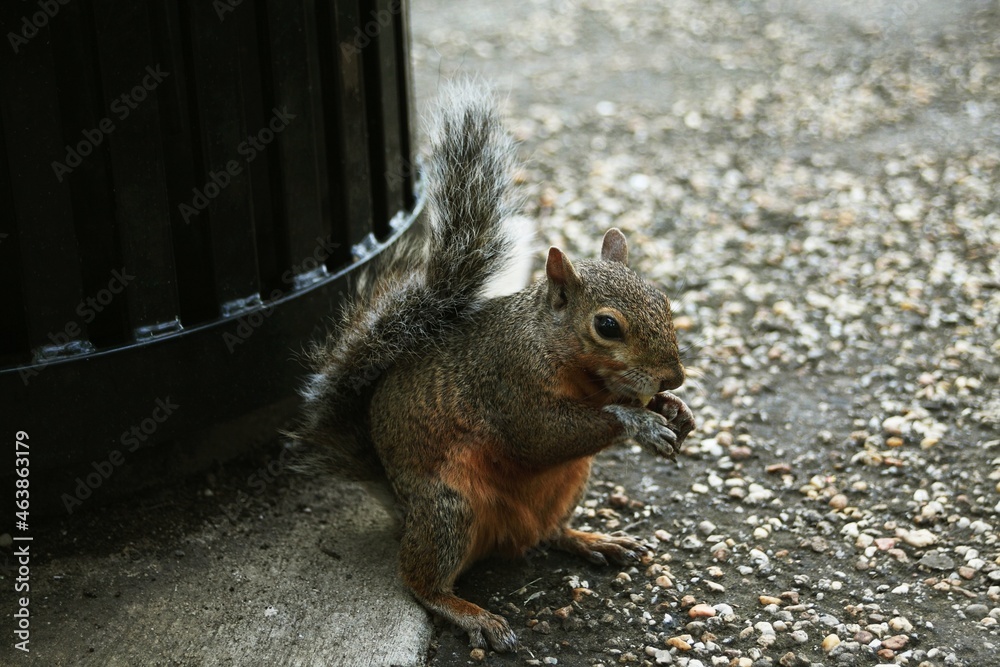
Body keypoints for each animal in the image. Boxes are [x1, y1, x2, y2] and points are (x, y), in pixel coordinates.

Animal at [288, 83, 696, 652]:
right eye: (607, 326)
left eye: (663, 300)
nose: (674, 376)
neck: (559, 352)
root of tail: (401, 504)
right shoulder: (508, 384)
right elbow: (540, 435)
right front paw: (640, 421)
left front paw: (676, 409)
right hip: (449, 509)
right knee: (419, 581)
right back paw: (470, 613)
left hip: (568, 486)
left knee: (549, 534)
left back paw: (592, 538)